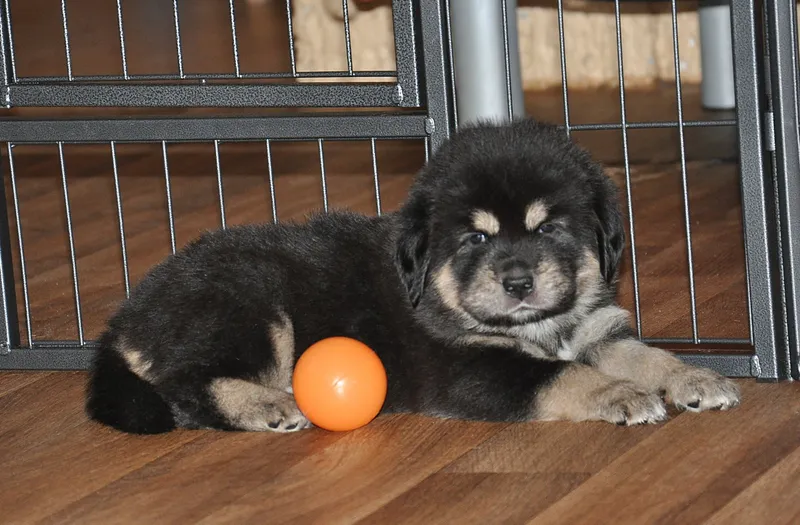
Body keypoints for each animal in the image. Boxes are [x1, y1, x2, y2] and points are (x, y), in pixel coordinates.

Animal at [86, 119, 740, 434]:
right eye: (476, 238)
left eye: (550, 229)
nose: (518, 283)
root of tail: (124, 320)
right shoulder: (468, 368)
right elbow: (564, 377)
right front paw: (621, 396)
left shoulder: (597, 331)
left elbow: (647, 356)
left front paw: (696, 378)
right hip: (251, 304)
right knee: (185, 386)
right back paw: (266, 407)